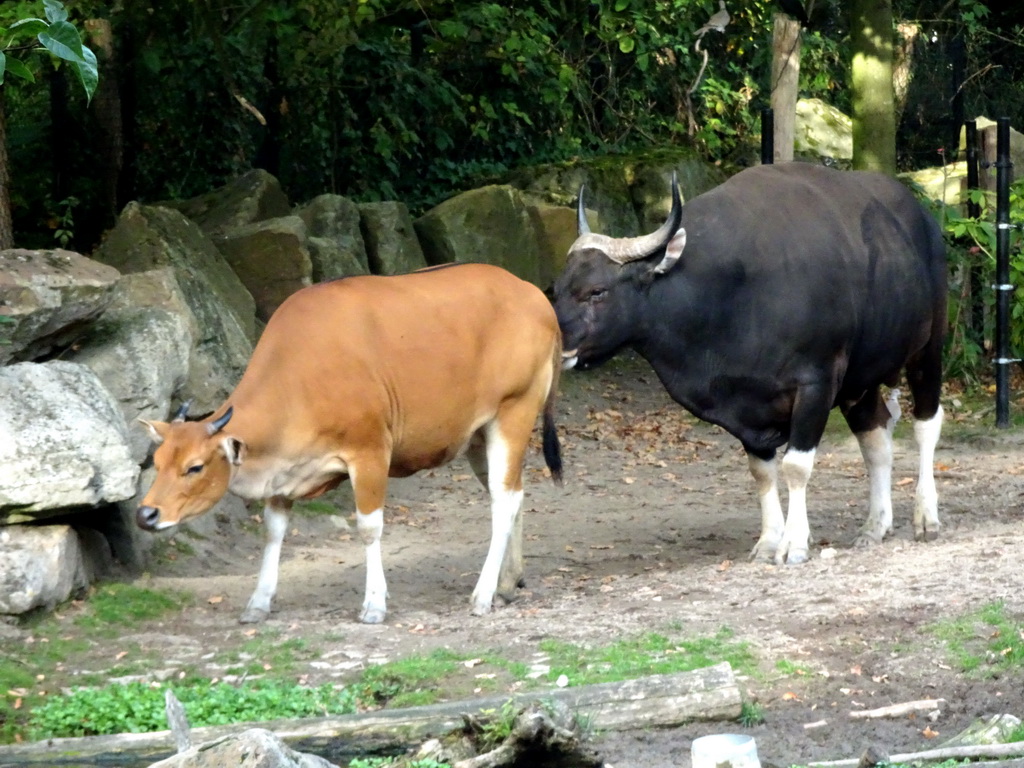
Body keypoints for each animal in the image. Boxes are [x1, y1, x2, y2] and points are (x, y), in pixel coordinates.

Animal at [135, 264, 561, 626]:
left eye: (195, 466)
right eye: (157, 462)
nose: (146, 515)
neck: (300, 373)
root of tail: (535, 297)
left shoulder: (369, 452)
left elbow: (369, 528)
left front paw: (374, 604)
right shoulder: (283, 472)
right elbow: (273, 532)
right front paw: (258, 602)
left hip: (513, 412)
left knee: (502, 501)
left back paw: (483, 594)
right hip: (477, 435)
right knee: (515, 494)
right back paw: (508, 582)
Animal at [557, 162, 946, 565]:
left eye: (596, 291)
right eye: (557, 288)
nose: (557, 340)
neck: (730, 295)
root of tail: (925, 222)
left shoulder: (816, 383)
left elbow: (796, 466)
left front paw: (794, 543)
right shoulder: (745, 405)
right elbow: (762, 472)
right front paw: (770, 540)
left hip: (929, 347)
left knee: (926, 424)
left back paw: (926, 517)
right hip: (860, 379)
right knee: (876, 437)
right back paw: (875, 525)